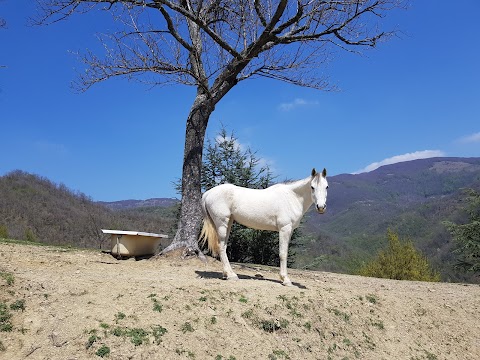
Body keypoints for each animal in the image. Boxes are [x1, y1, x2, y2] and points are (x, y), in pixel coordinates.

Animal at [200, 167, 330, 286]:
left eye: (326, 187)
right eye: (312, 187)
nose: (321, 207)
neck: (292, 197)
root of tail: (208, 193)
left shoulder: (290, 231)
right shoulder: (284, 229)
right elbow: (283, 254)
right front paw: (285, 280)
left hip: (228, 223)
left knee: (223, 247)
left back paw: (226, 274)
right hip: (222, 224)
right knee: (221, 246)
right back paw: (231, 275)